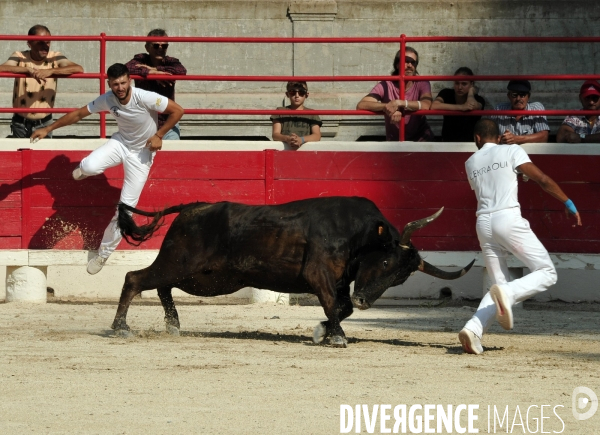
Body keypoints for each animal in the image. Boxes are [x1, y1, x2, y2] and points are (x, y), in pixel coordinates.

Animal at [113, 198, 474, 348]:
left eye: (401, 278)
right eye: (386, 263)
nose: (366, 301)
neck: (359, 234)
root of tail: (192, 207)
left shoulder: (340, 282)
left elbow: (341, 307)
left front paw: (322, 331)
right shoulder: (319, 275)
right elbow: (333, 305)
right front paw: (337, 338)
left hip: (201, 276)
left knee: (161, 287)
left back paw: (173, 325)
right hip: (181, 262)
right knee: (134, 279)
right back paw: (121, 329)